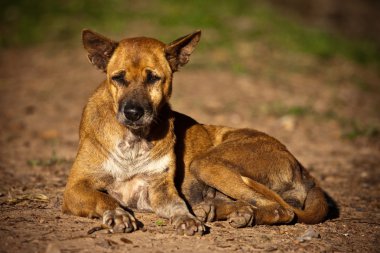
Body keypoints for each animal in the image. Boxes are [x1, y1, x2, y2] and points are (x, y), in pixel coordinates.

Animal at [61, 29, 326, 235]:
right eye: (118, 78)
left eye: (153, 78)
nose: (133, 112)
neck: (134, 142)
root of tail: (303, 170)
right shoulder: (75, 188)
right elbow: (103, 197)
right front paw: (118, 213)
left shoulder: (160, 190)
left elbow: (178, 205)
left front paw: (187, 218)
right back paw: (218, 210)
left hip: (206, 162)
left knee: (281, 209)